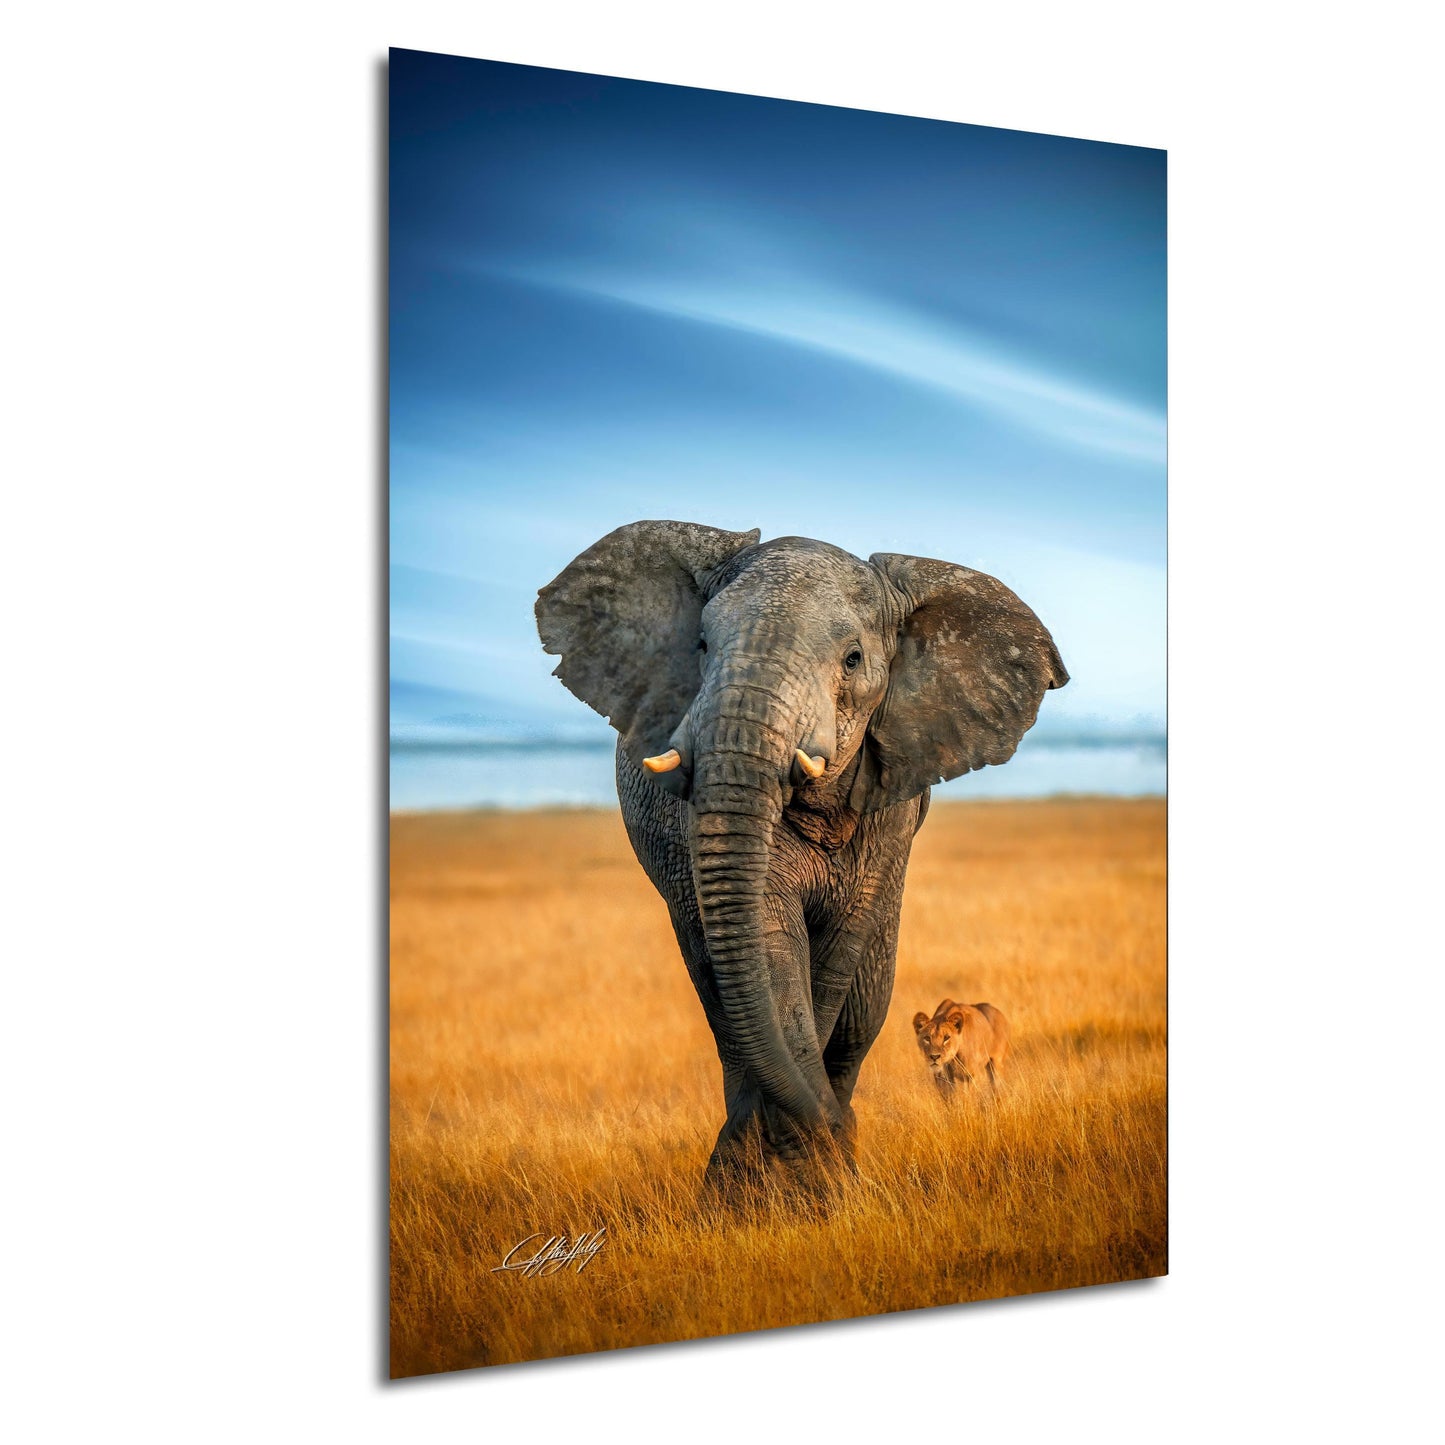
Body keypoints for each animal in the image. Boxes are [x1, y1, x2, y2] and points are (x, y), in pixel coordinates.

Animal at [535, 521, 1067, 1195]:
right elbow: (770, 945)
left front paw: (821, 1180)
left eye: (853, 659)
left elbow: (837, 955)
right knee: (720, 1003)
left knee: (862, 1012)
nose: (834, 1139)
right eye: (701, 644)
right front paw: (795, 1182)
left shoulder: (888, 814)